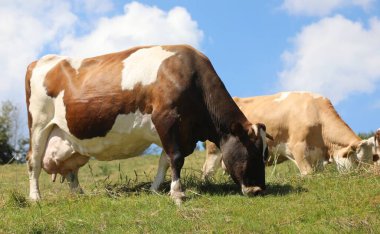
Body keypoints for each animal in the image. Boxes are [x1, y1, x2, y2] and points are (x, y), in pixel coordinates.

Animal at [24, 44, 268, 205]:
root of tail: (41, 61)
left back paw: (79, 194)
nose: (258, 190)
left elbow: (165, 161)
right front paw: (177, 193)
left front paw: (155, 189)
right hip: (39, 124)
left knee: (70, 170)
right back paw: (35, 197)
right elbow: (176, 158)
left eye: (265, 154)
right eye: (254, 153)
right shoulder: (166, 118)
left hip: (69, 140)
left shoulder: (180, 132)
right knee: (33, 160)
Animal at [203, 92, 372, 177]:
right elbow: (308, 174)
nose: (367, 176)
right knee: (207, 170)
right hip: (214, 151)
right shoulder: (298, 148)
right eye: (358, 160)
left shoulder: (316, 156)